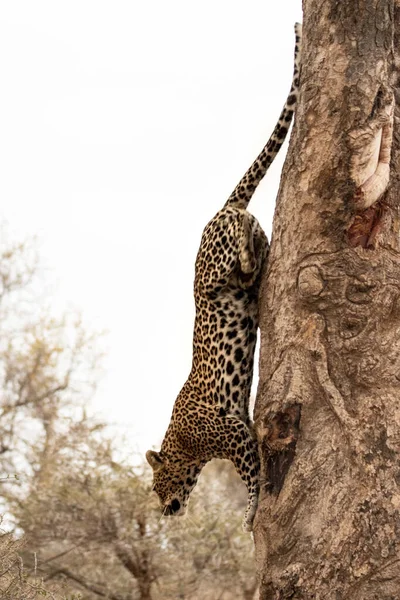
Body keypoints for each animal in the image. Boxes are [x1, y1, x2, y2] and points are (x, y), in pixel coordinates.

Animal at [148, 23, 302, 528]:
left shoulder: (232, 434)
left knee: (240, 228)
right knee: (251, 228)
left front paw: (250, 515)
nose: (162, 511)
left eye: (155, 484)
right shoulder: (238, 427)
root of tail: (219, 208)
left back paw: (249, 249)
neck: (181, 442)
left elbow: (252, 472)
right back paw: (257, 248)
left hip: (212, 269)